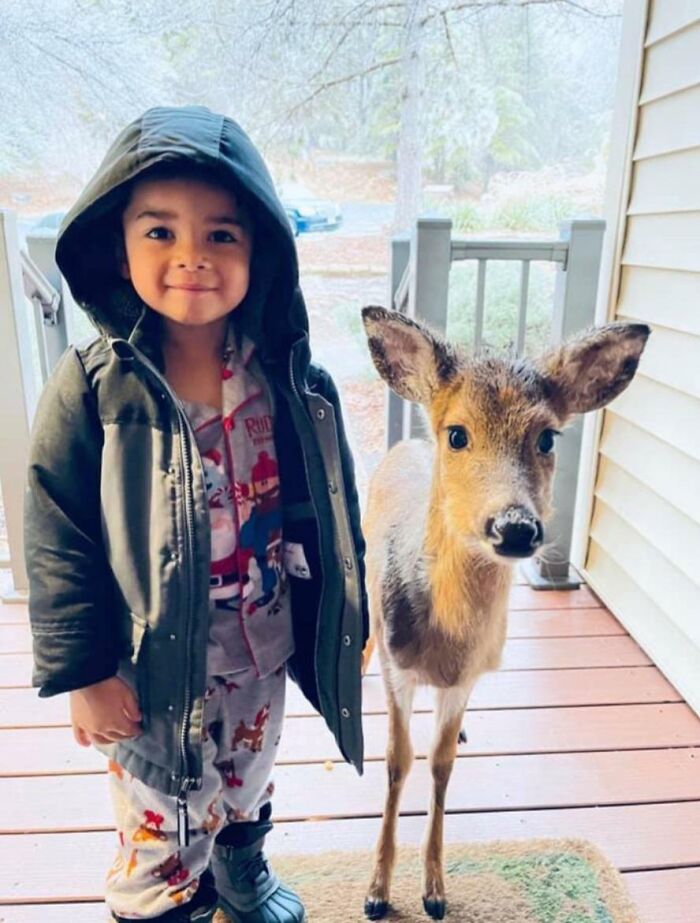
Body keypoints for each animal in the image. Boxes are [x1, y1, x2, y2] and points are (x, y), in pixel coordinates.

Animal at [359, 305, 650, 920]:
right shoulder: (399, 665)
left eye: (547, 436)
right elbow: (397, 761)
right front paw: (376, 891)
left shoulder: (467, 677)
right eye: (457, 434)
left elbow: (441, 763)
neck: (444, 645)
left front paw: (435, 891)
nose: (515, 526)